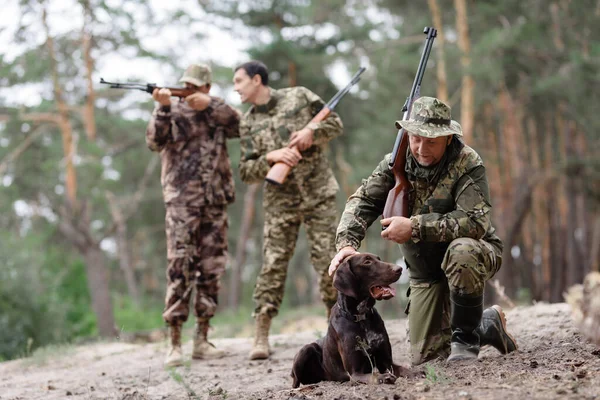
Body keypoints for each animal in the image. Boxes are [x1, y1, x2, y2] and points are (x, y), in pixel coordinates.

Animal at [290, 253, 418, 388]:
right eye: (367, 262)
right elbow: (373, 375)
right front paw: (384, 377)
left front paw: (416, 372)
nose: (399, 269)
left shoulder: (387, 362)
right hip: (306, 349)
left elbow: (403, 368)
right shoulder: (355, 373)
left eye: (379, 259)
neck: (361, 316)